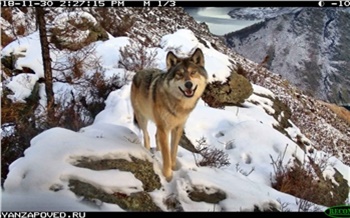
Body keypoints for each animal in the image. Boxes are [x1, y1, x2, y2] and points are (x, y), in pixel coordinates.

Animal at [131, 48, 208, 182]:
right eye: (179, 74)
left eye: (193, 73)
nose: (188, 84)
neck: (179, 105)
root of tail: (139, 72)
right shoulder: (164, 128)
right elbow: (166, 155)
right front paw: (168, 176)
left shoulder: (177, 128)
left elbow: (173, 151)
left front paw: (173, 168)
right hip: (142, 118)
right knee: (147, 136)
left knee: (155, 136)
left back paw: (158, 151)